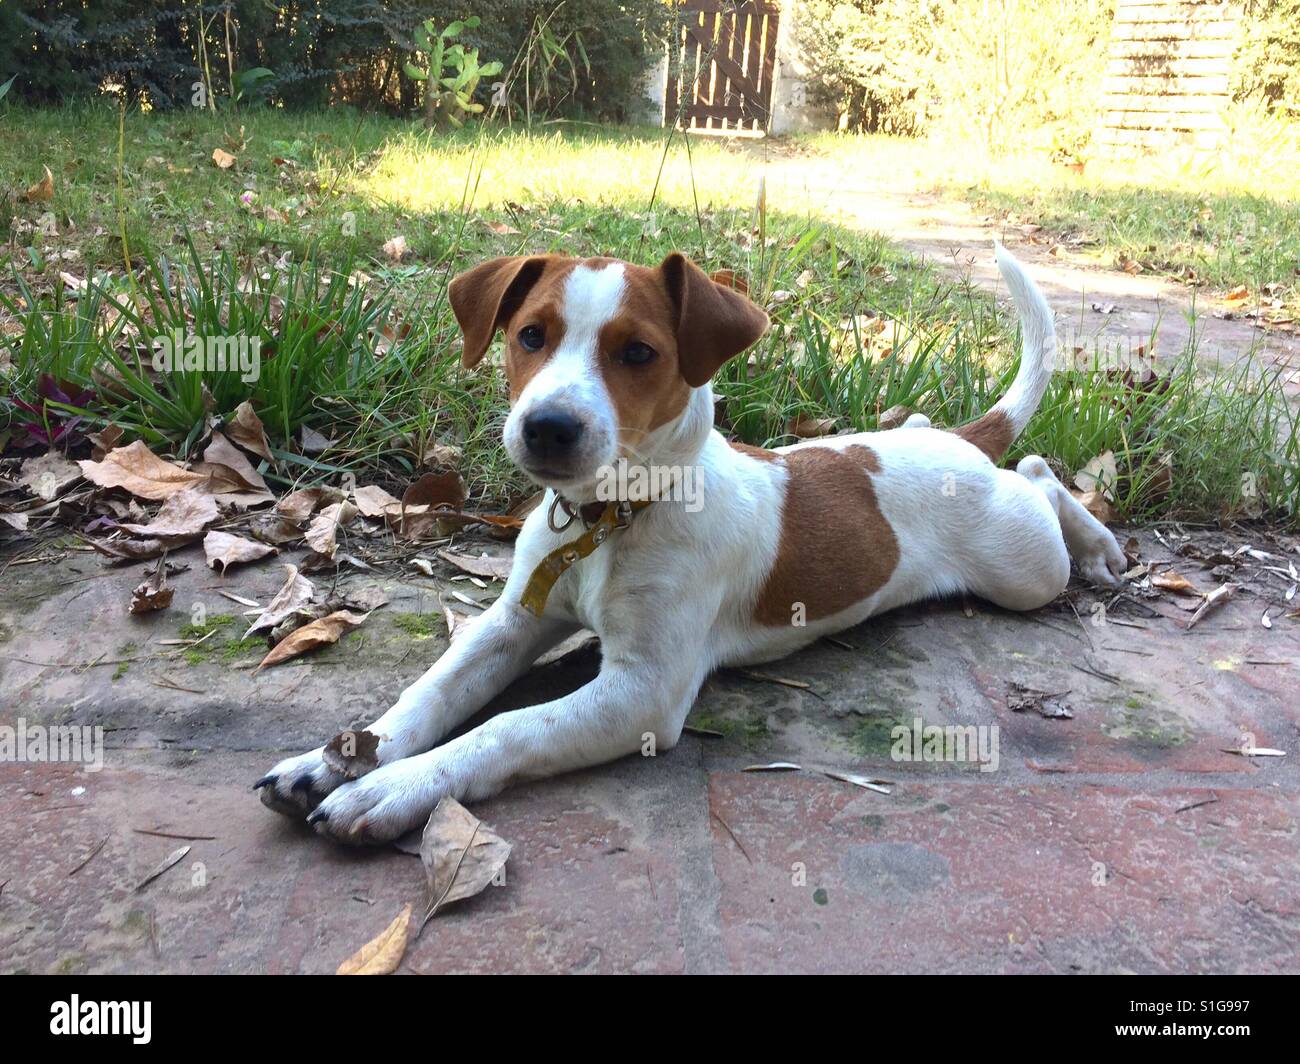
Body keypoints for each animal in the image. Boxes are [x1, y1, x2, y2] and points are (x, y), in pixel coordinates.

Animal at [253, 244, 1128, 842]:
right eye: (531, 336)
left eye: (638, 352)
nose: (548, 427)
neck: (609, 522)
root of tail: (961, 442)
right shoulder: (509, 625)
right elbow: (428, 695)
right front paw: (339, 758)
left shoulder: (642, 692)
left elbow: (504, 728)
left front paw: (393, 787)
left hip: (1023, 566)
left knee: (1041, 479)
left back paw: (1099, 545)